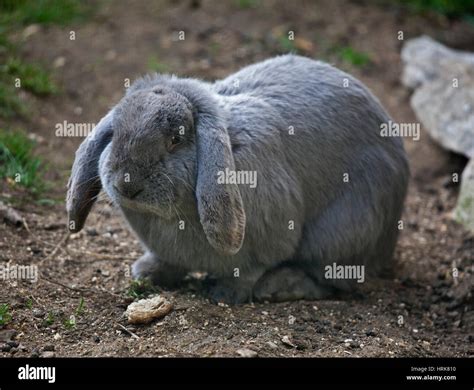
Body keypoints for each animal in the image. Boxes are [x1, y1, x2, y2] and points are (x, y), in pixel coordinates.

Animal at [65, 54, 410, 304]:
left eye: (176, 139)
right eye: (115, 133)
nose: (127, 185)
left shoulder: (267, 240)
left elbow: (249, 270)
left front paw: (226, 294)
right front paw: (147, 273)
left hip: (341, 234)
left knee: (331, 281)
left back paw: (280, 286)